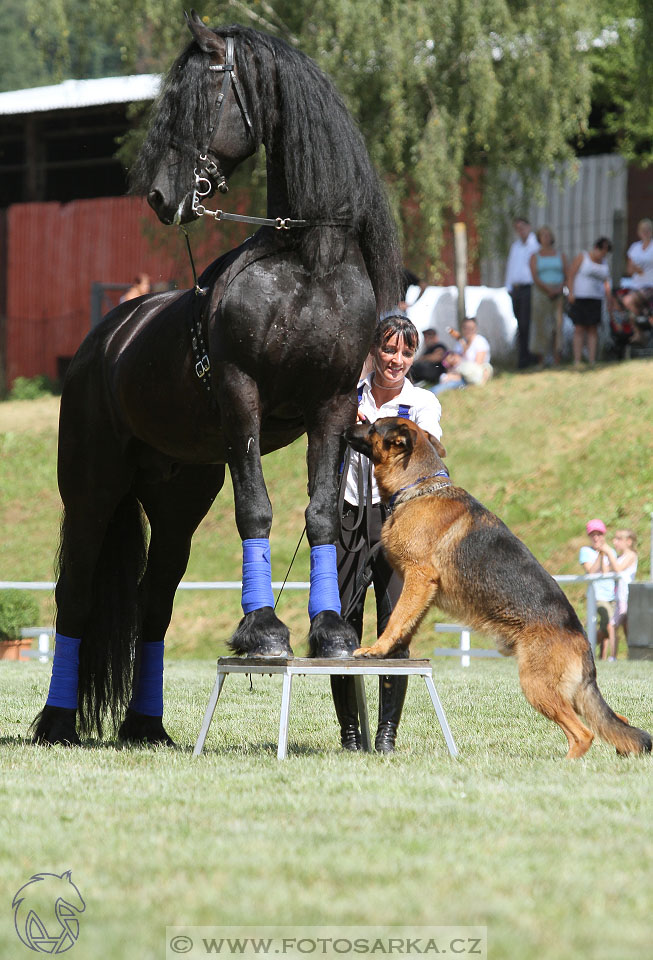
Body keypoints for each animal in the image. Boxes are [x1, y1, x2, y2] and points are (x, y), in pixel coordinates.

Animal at [35, 11, 404, 748]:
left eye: (198, 95)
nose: (160, 195)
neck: (306, 262)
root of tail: (102, 340)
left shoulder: (328, 406)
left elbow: (321, 513)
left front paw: (329, 634)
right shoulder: (242, 398)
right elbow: (255, 508)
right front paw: (263, 633)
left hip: (178, 496)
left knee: (153, 602)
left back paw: (145, 726)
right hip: (93, 488)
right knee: (76, 595)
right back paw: (58, 719)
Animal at [344, 416, 648, 760]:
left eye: (372, 426)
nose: (348, 425)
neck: (417, 487)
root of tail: (583, 639)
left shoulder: (419, 578)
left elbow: (397, 619)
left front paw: (376, 649)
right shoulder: (424, 590)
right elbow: (408, 621)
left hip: (536, 686)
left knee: (584, 733)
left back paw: (565, 763)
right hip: (569, 694)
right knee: (615, 722)